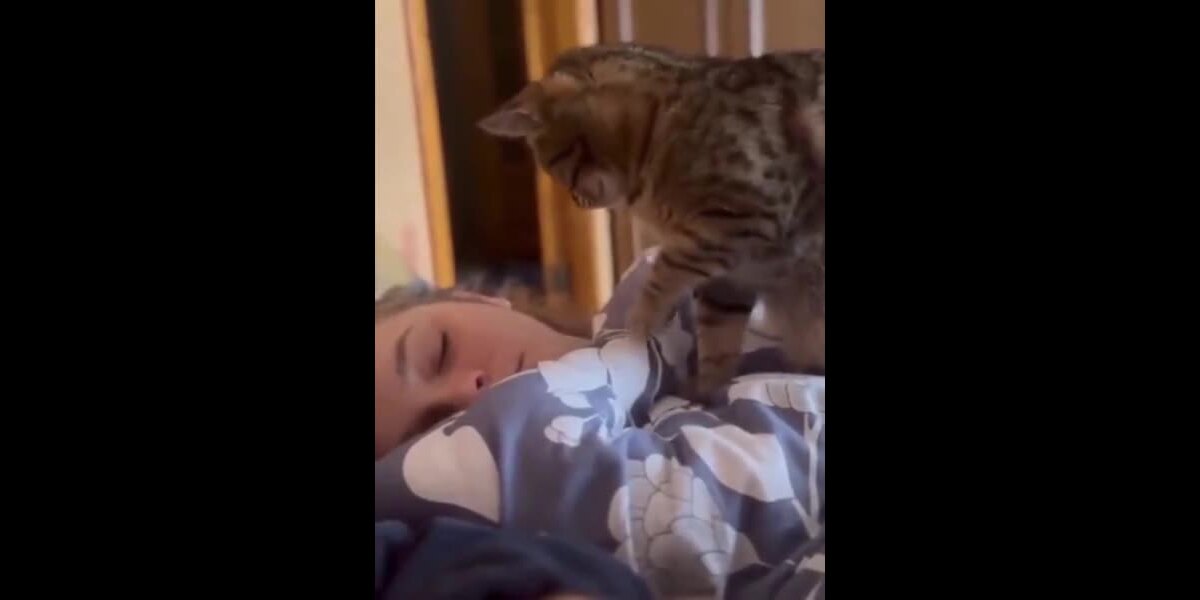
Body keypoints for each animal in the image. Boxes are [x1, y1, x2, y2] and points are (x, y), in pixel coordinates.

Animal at [479, 43, 825, 396]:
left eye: (555, 166)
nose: (577, 201)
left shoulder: (740, 216)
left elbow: (666, 271)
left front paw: (640, 324)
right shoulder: (732, 276)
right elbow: (717, 338)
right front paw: (704, 391)